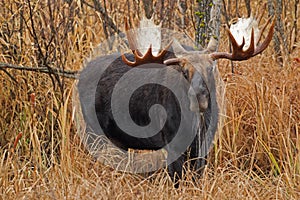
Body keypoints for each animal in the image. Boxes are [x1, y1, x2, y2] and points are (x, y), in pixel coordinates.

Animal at [77, 15, 274, 186]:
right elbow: (177, 179)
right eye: (185, 71)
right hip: (93, 130)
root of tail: (79, 77)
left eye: (210, 69)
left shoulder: (203, 145)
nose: (198, 97)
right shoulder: (172, 143)